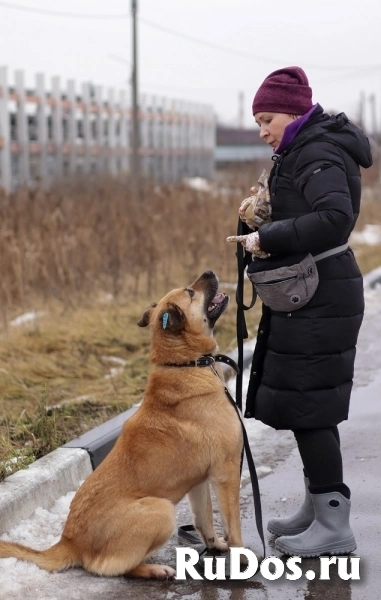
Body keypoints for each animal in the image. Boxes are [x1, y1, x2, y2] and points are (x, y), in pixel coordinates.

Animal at [0, 270, 246, 580]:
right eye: (190, 292)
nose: (210, 272)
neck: (184, 364)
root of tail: (70, 541)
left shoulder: (199, 482)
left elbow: (205, 522)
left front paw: (215, 546)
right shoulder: (226, 472)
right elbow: (233, 526)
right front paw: (244, 557)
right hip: (161, 509)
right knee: (114, 568)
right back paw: (154, 569)